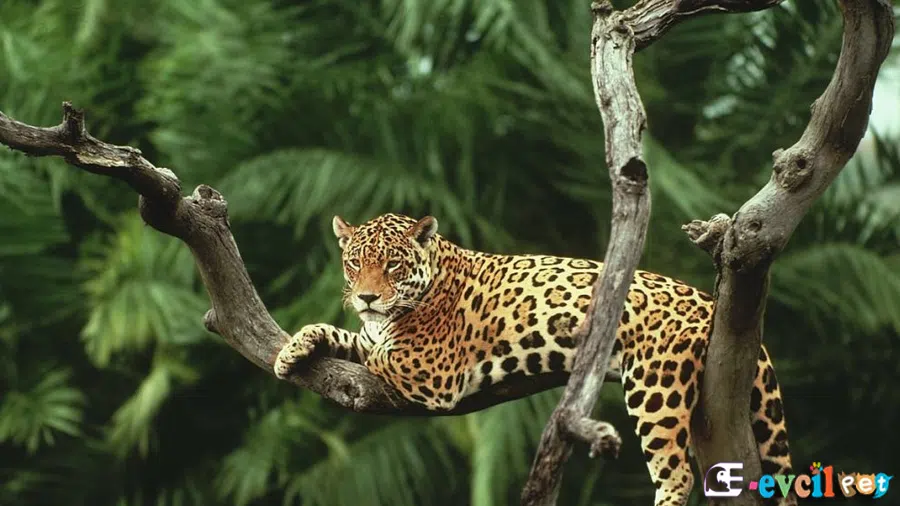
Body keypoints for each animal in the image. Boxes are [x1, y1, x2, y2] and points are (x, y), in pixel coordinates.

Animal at [274, 213, 795, 506]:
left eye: (393, 265)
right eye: (354, 263)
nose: (366, 297)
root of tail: (710, 301)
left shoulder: (430, 369)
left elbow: (377, 352)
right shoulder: (378, 335)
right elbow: (349, 336)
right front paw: (290, 349)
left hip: (656, 386)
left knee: (677, 471)